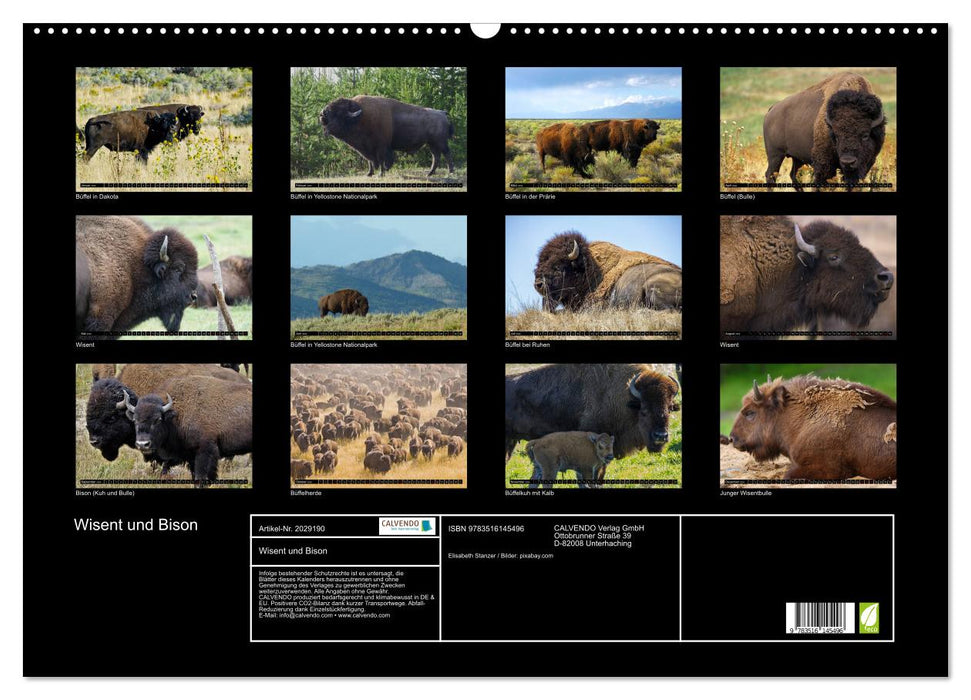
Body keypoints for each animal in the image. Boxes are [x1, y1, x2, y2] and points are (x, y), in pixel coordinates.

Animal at [319, 95, 455, 177]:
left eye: (338, 112)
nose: (322, 114)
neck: (360, 117)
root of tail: (442, 113)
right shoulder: (366, 148)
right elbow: (370, 161)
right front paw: (369, 174)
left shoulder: (380, 146)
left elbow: (381, 160)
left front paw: (381, 173)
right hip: (431, 144)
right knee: (436, 156)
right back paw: (430, 173)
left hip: (440, 142)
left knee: (447, 154)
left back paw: (450, 172)